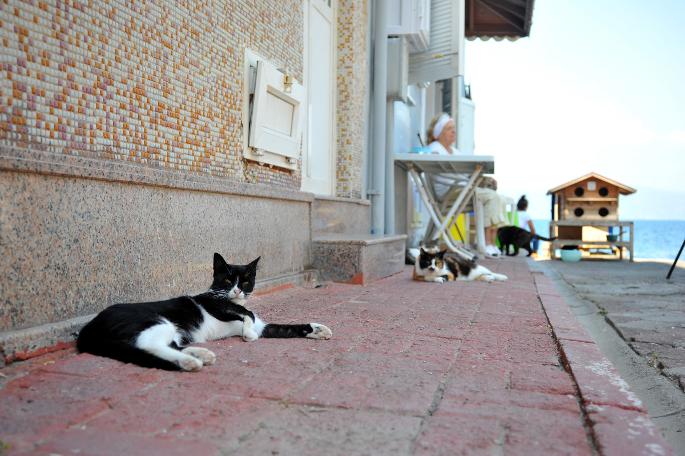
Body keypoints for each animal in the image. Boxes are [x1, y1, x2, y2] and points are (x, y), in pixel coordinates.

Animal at [76, 253, 332, 370]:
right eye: (227, 280)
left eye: (246, 281)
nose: (237, 290)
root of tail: (89, 328)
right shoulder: (220, 307)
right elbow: (245, 313)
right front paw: (248, 335)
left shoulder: (264, 326)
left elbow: (285, 327)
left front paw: (318, 329)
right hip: (155, 321)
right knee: (147, 345)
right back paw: (190, 362)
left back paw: (200, 354)